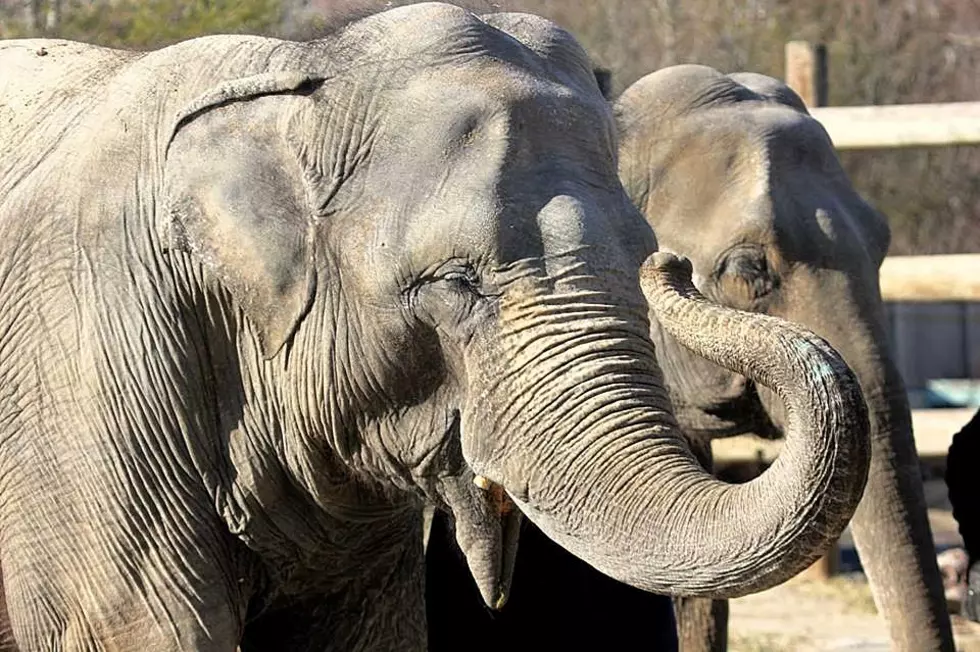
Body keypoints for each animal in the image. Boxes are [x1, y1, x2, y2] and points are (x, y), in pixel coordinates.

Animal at [0, 3, 872, 648]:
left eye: (643, 257)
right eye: (455, 283)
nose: (675, 270)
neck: (293, 77)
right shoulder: (85, 367)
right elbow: (135, 628)